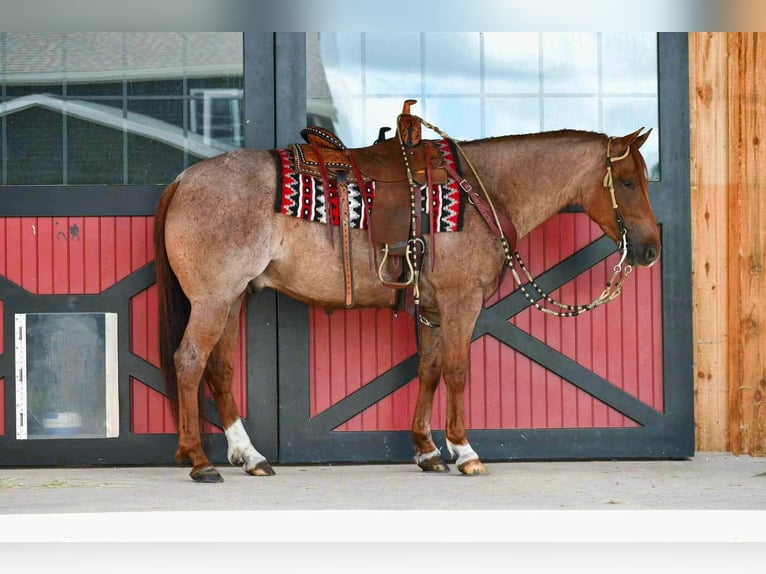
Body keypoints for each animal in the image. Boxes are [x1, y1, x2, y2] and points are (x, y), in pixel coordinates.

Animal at [153, 122, 660, 482]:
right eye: (628, 183)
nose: (651, 249)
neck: (483, 191)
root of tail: (183, 179)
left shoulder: (433, 310)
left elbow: (429, 370)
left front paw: (427, 451)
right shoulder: (460, 303)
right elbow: (457, 371)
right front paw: (464, 451)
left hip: (233, 297)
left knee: (219, 370)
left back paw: (250, 456)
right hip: (213, 299)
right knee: (190, 362)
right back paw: (199, 460)